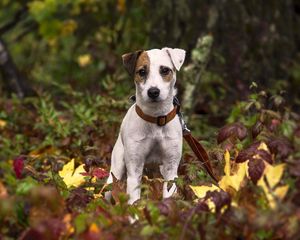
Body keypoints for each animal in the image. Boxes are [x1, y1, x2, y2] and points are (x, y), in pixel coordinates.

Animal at [105, 47, 185, 204]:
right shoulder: (134, 169)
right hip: (115, 170)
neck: (156, 119)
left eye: (165, 70)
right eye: (142, 71)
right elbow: (134, 198)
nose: (153, 91)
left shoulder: (171, 168)